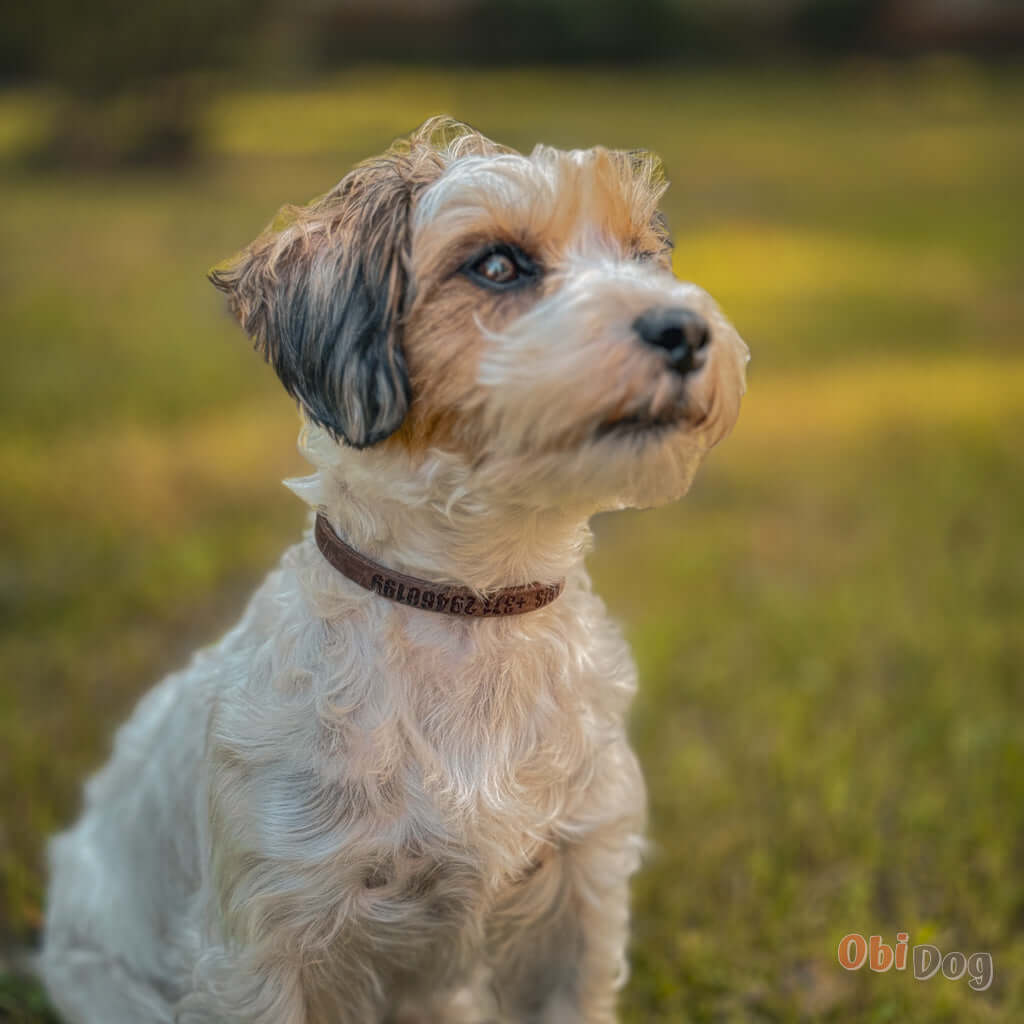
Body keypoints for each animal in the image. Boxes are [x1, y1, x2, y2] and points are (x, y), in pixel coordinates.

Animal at [39, 116, 749, 1019]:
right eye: (497, 265)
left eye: (640, 255)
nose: (686, 330)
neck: (469, 606)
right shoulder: (262, 942)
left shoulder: (577, 903)